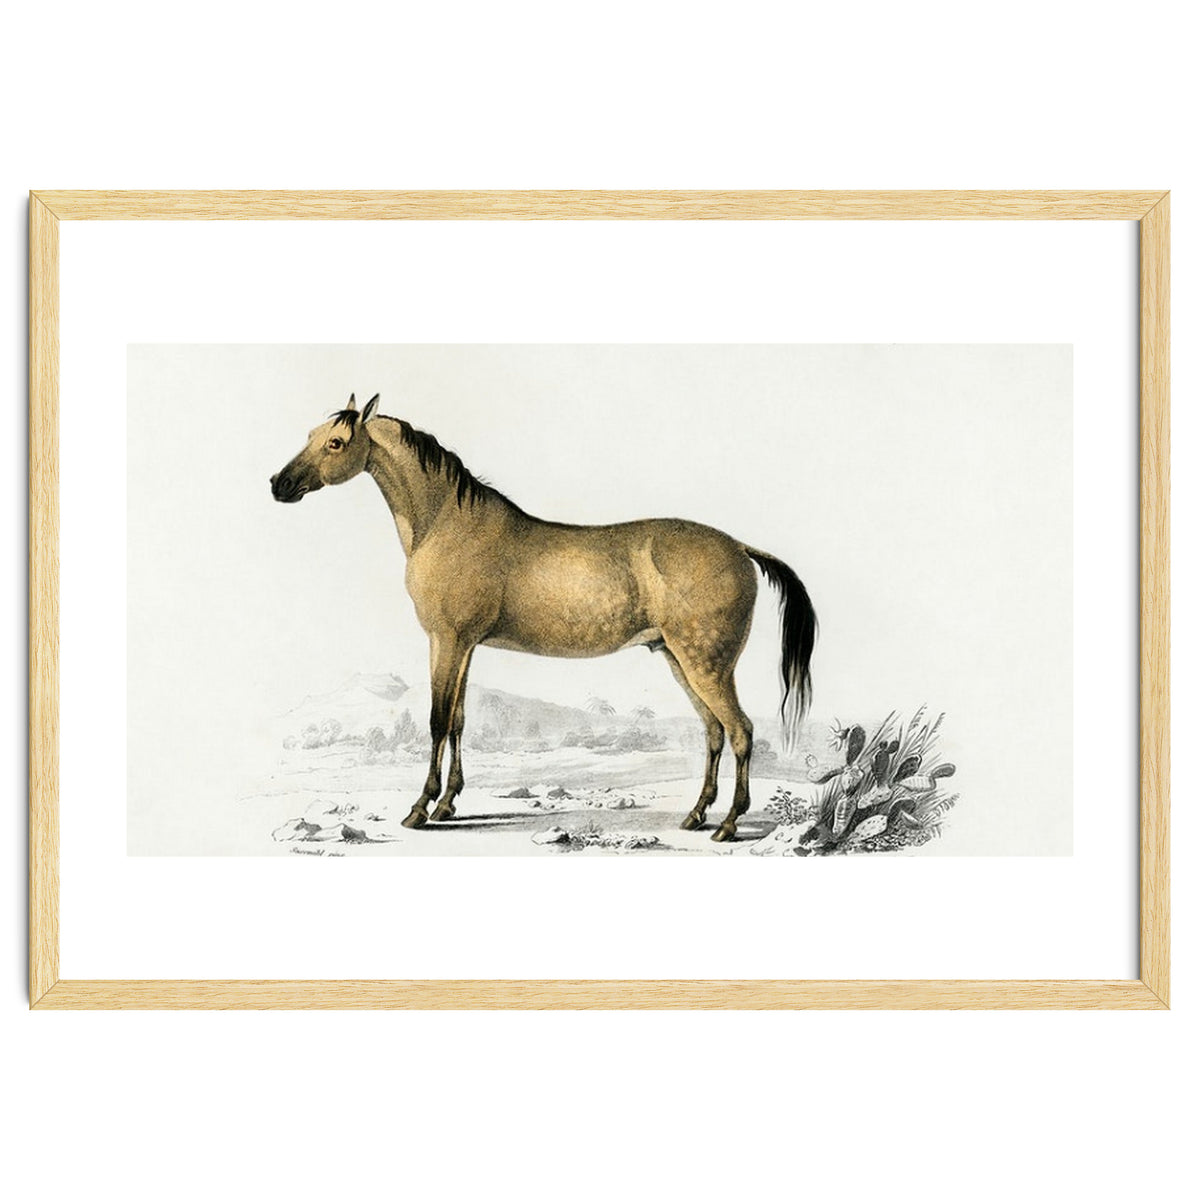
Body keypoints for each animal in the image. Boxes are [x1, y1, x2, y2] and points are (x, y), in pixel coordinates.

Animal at [271, 394, 817, 842]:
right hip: (680, 660)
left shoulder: (446, 640)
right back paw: (697, 815)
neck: (447, 523)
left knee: (741, 730)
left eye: (337, 442)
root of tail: (740, 547)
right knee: (714, 732)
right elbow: (459, 721)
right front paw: (448, 804)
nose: (279, 484)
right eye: (311, 435)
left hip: (706, 664)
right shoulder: (463, 646)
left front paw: (420, 809)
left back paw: (728, 824)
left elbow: (436, 720)